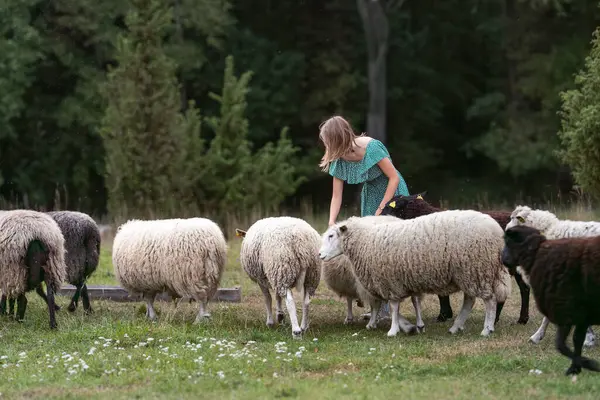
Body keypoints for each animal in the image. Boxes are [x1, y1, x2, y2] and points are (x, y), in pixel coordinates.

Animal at [318, 209, 510, 338]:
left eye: (331, 236)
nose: (319, 255)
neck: (366, 240)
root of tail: (497, 232)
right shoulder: (404, 280)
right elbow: (410, 303)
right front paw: (415, 326)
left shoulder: (390, 281)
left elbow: (393, 307)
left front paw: (393, 330)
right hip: (468, 273)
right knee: (469, 301)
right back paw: (456, 327)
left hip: (478, 269)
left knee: (489, 301)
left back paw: (486, 329)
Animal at [382, 191, 532, 324]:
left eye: (389, 206)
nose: (378, 214)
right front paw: (446, 314)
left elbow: (441, 293)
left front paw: (443, 315)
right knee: (524, 289)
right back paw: (522, 319)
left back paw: (495, 319)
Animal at [500, 227, 600, 376]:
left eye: (508, 242)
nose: (502, 258)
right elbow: (576, 339)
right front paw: (576, 367)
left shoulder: (566, 308)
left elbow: (562, 344)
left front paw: (586, 363)